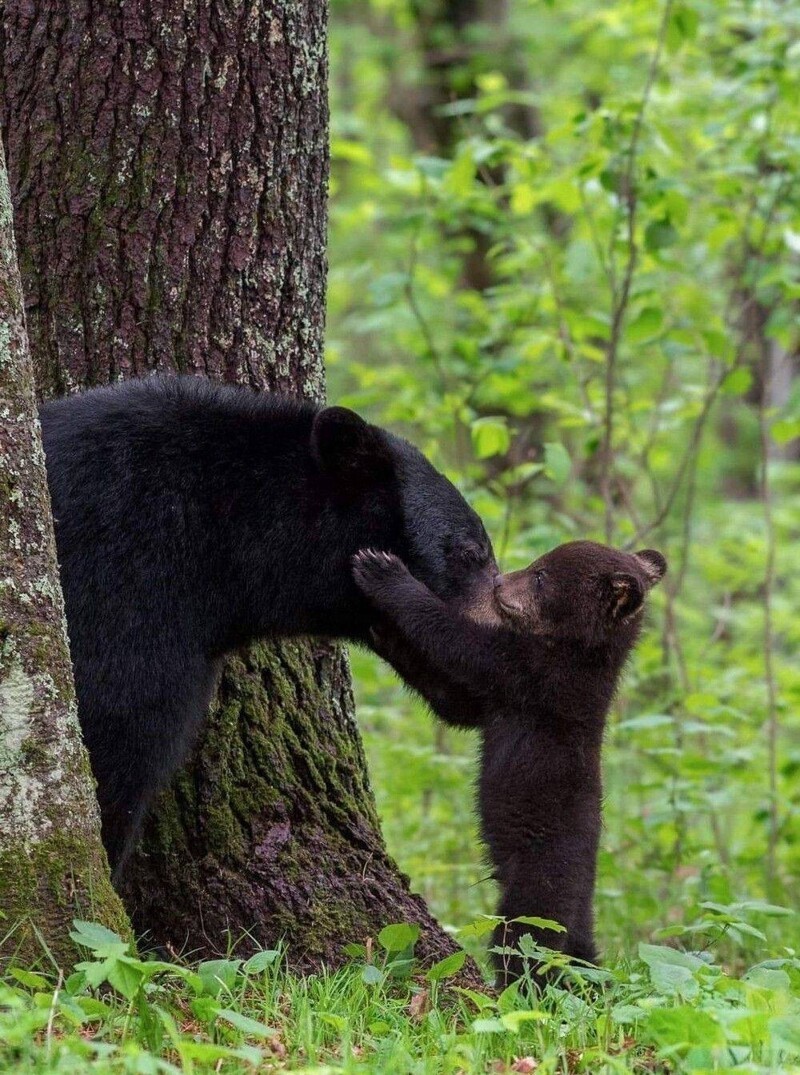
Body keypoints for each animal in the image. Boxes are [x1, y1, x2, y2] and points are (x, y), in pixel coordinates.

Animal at [352, 541, 666, 984]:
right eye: (540, 563)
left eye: (540, 575)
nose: (499, 581)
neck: (576, 648)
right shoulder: (507, 694)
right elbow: (457, 704)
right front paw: (379, 634)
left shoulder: (534, 675)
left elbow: (460, 645)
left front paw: (383, 571)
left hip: (538, 889)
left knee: (524, 946)